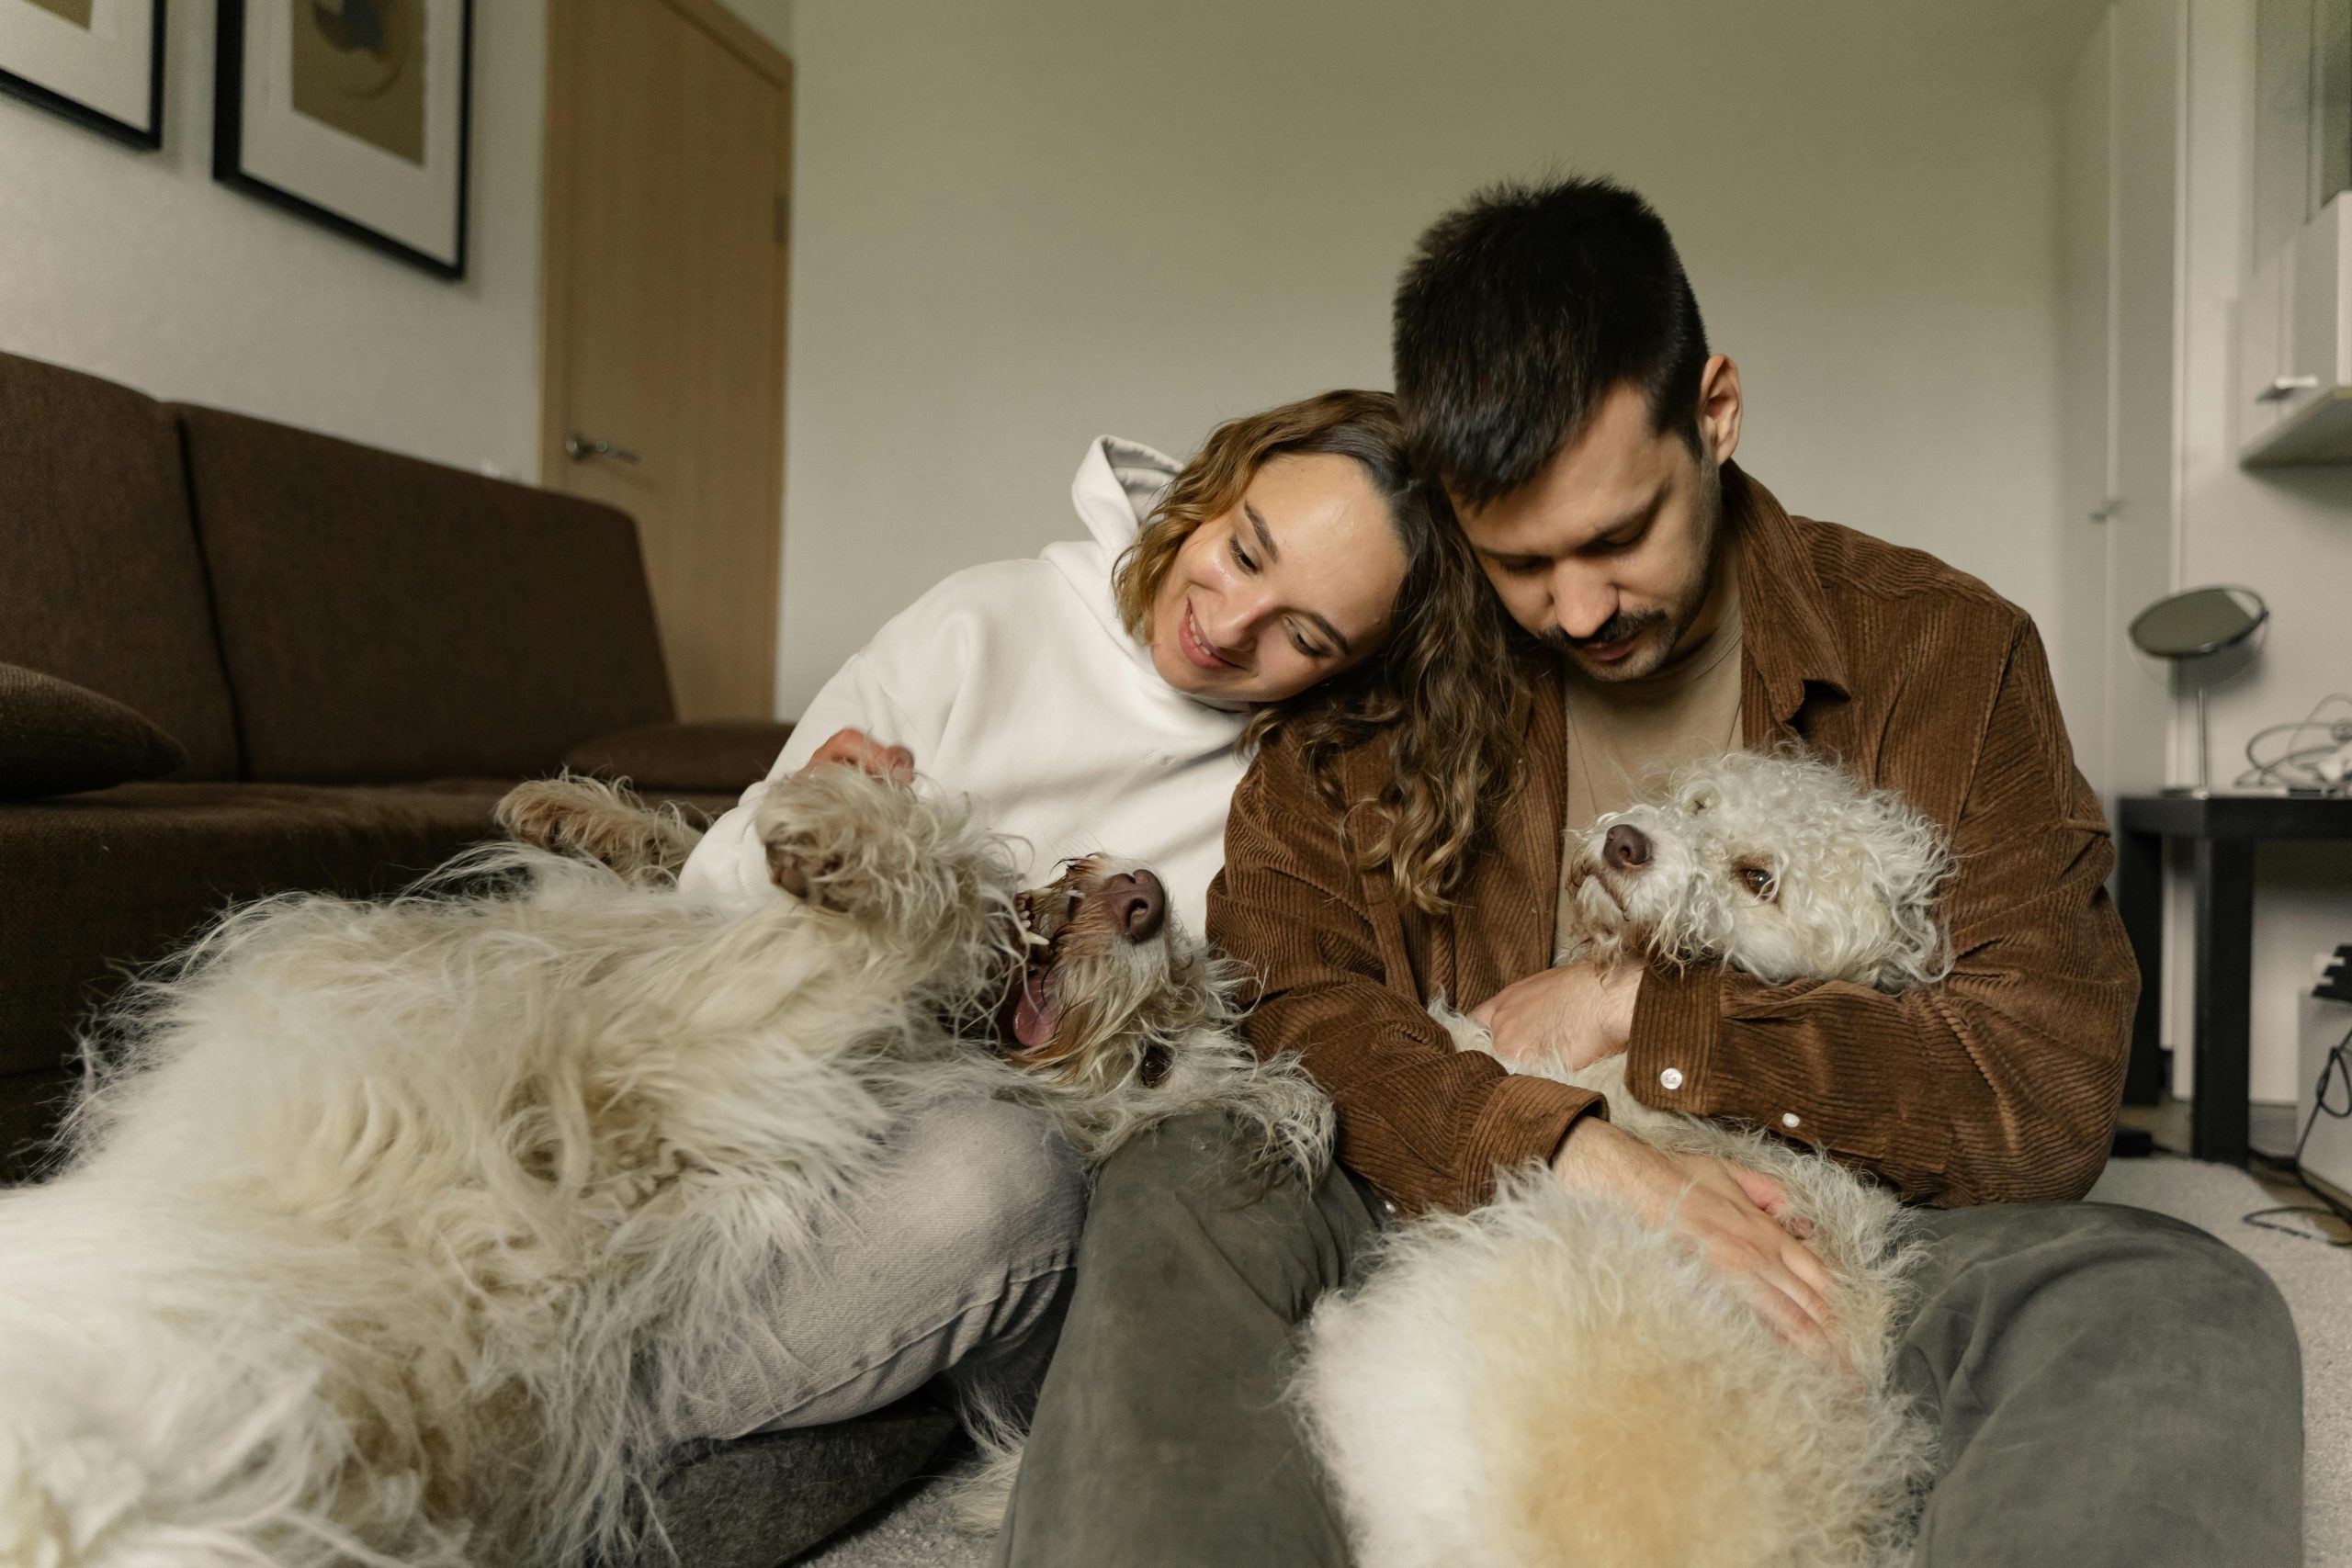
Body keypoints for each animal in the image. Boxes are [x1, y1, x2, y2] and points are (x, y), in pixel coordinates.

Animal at [0, 771, 1326, 1568]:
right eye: (1162, 1028)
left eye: (1155, 1061)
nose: (1144, 896)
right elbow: (701, 867)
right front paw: (587, 815)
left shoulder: (689, 1075)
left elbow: (909, 917)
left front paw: (873, 848)